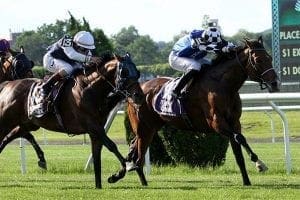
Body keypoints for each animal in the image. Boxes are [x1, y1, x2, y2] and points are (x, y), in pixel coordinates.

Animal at [0, 52, 144, 188]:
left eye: (137, 73)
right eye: (124, 72)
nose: (139, 96)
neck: (89, 89)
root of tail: (7, 84)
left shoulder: (96, 130)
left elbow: (97, 153)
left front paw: (100, 184)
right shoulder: (93, 127)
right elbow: (112, 146)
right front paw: (121, 172)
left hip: (28, 123)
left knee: (11, 137)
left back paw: (41, 160)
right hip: (6, 120)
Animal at [109, 36, 278, 186]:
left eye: (270, 58)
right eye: (258, 60)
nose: (275, 83)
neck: (223, 85)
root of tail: (136, 90)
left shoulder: (234, 122)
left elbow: (239, 153)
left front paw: (247, 181)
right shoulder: (217, 123)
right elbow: (240, 138)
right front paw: (259, 163)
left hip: (152, 126)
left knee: (134, 147)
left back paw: (121, 174)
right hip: (143, 126)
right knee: (138, 153)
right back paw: (136, 176)